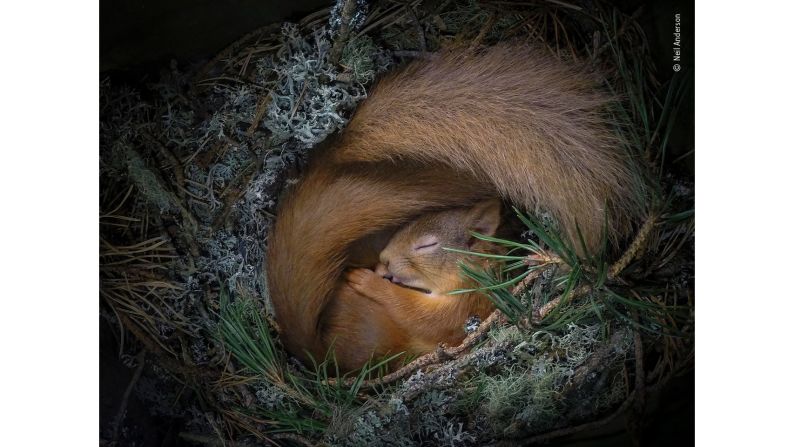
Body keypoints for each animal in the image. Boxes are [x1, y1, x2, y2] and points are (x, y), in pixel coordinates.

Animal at [266, 44, 644, 374]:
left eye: (428, 245)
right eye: (405, 227)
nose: (384, 260)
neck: (477, 267)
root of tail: (316, 354)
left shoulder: (469, 303)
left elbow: (423, 317)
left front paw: (369, 281)